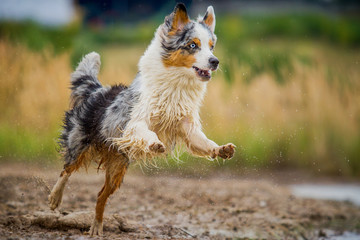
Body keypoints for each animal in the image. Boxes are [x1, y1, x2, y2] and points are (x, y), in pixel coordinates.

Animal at [49, 3, 238, 236]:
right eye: (193, 45)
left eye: (211, 47)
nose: (215, 61)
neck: (176, 84)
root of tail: (98, 90)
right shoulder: (135, 122)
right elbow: (146, 132)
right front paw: (154, 144)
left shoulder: (188, 128)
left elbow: (205, 142)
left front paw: (222, 149)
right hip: (80, 144)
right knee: (66, 169)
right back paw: (55, 198)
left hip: (117, 167)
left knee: (101, 196)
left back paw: (97, 228)